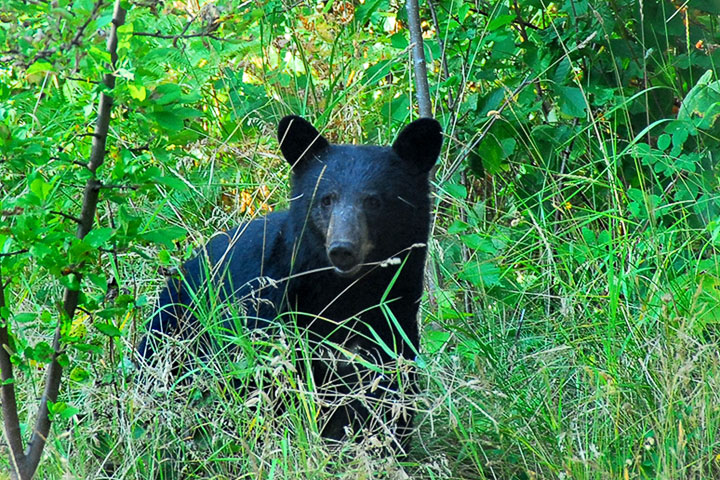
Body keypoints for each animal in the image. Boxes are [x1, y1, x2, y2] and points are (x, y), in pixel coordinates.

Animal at [138, 116, 442, 454]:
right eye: (326, 199)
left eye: (374, 200)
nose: (342, 249)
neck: (344, 293)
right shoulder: (269, 306)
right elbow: (264, 380)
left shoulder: (392, 312)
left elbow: (387, 387)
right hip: (174, 326)